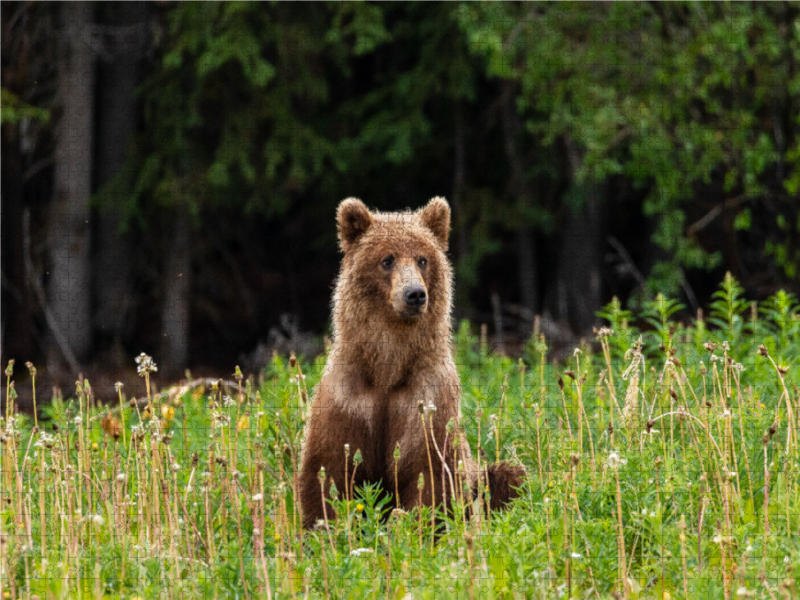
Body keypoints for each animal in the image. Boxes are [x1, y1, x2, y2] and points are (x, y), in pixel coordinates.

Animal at [300, 195, 524, 528]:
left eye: (422, 259)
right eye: (387, 259)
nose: (415, 294)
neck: (388, 367)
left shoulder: (426, 399)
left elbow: (428, 471)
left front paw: (411, 526)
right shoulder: (347, 398)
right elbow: (328, 469)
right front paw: (325, 527)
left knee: (510, 476)